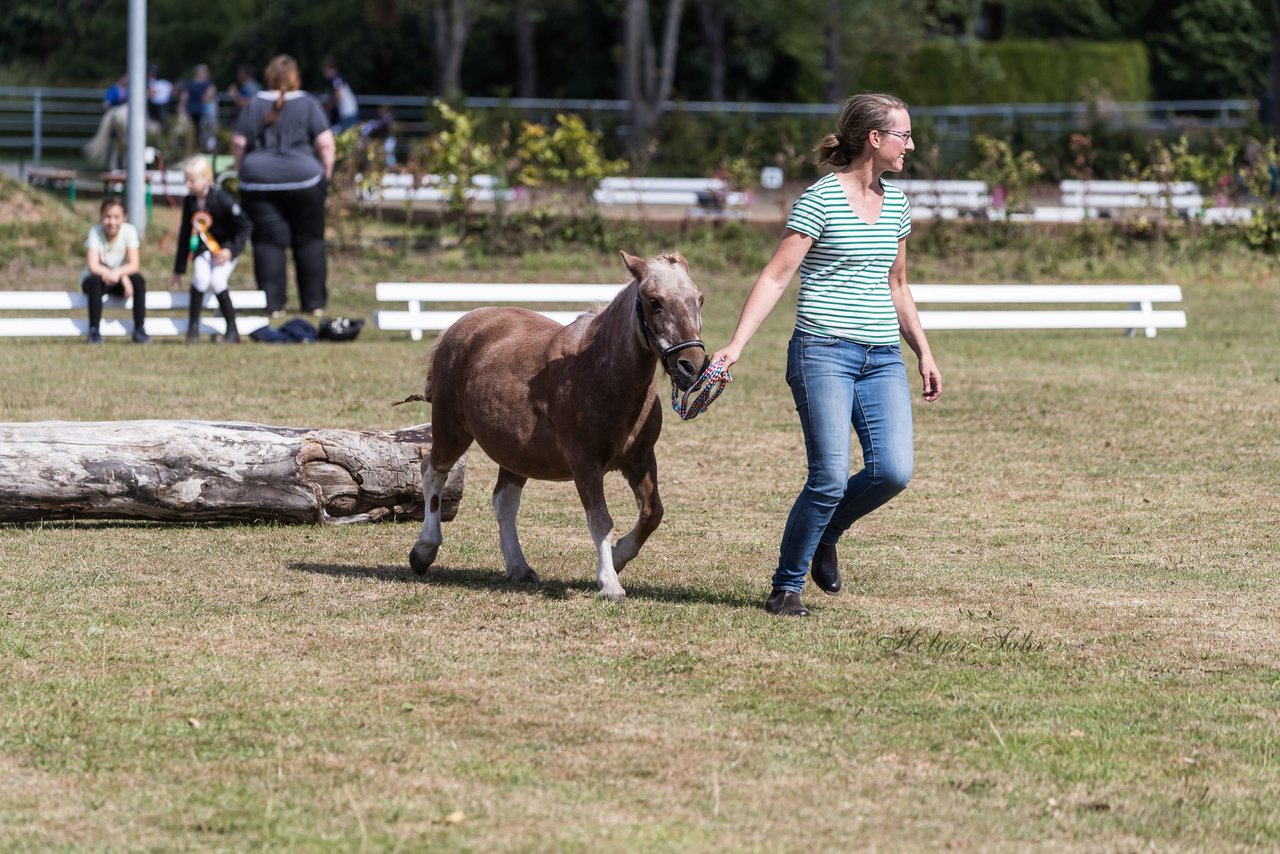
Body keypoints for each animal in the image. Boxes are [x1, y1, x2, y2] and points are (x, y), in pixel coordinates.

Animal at [409, 252, 711, 601]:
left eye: (699, 299)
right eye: (654, 301)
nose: (692, 366)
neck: (601, 372)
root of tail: (459, 326)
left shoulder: (641, 459)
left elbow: (652, 513)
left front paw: (618, 557)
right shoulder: (585, 464)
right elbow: (600, 521)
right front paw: (609, 583)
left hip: (515, 454)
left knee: (504, 502)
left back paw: (519, 567)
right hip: (451, 429)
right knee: (433, 473)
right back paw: (424, 551)